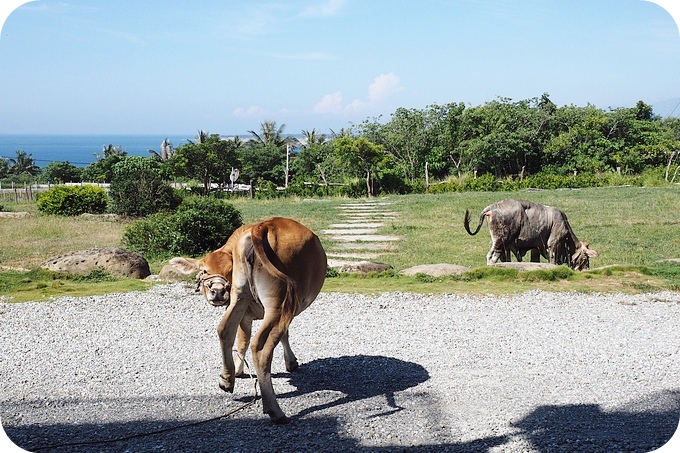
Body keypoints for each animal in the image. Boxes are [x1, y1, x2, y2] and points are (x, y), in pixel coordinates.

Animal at [171, 217, 328, 422]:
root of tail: (263, 225)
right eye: (204, 271)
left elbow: (242, 339)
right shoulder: (283, 311)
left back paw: (226, 379)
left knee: (224, 329)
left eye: (229, 270)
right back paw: (275, 410)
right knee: (260, 346)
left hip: (241, 295)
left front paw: (237, 370)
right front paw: (291, 362)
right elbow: (271, 336)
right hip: (278, 303)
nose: (218, 291)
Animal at [464, 200, 596, 270]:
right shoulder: (552, 244)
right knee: (491, 258)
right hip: (500, 241)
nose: (587, 269)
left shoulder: (536, 247)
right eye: (586, 258)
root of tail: (492, 207)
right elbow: (552, 261)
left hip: (501, 244)